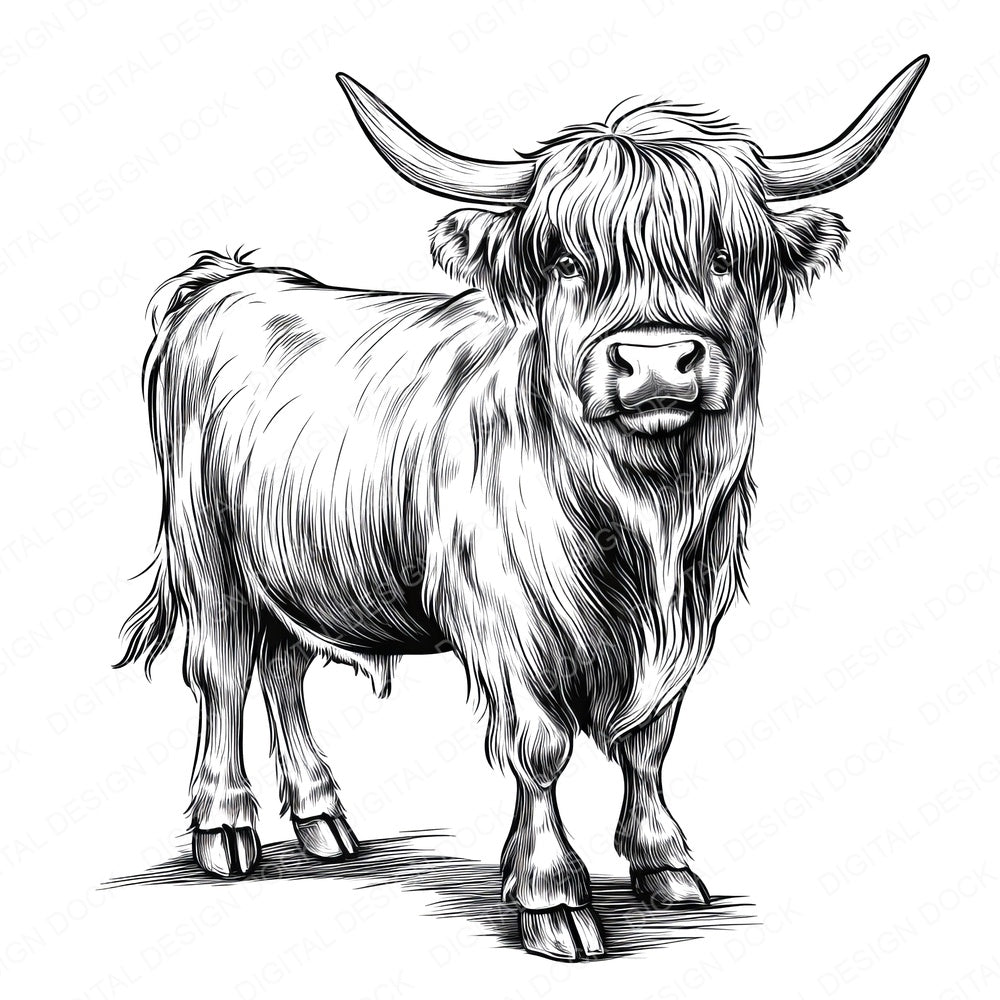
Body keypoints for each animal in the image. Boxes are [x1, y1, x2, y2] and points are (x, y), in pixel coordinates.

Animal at [117, 56, 928, 960]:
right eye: (568, 262)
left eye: (723, 256)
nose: (656, 363)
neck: (642, 517)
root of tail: (229, 280)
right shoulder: (504, 622)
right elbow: (540, 748)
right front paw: (551, 897)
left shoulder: (692, 612)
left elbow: (649, 743)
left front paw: (663, 863)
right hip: (208, 557)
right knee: (222, 672)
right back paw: (225, 829)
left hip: (295, 569)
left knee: (283, 670)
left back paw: (323, 818)